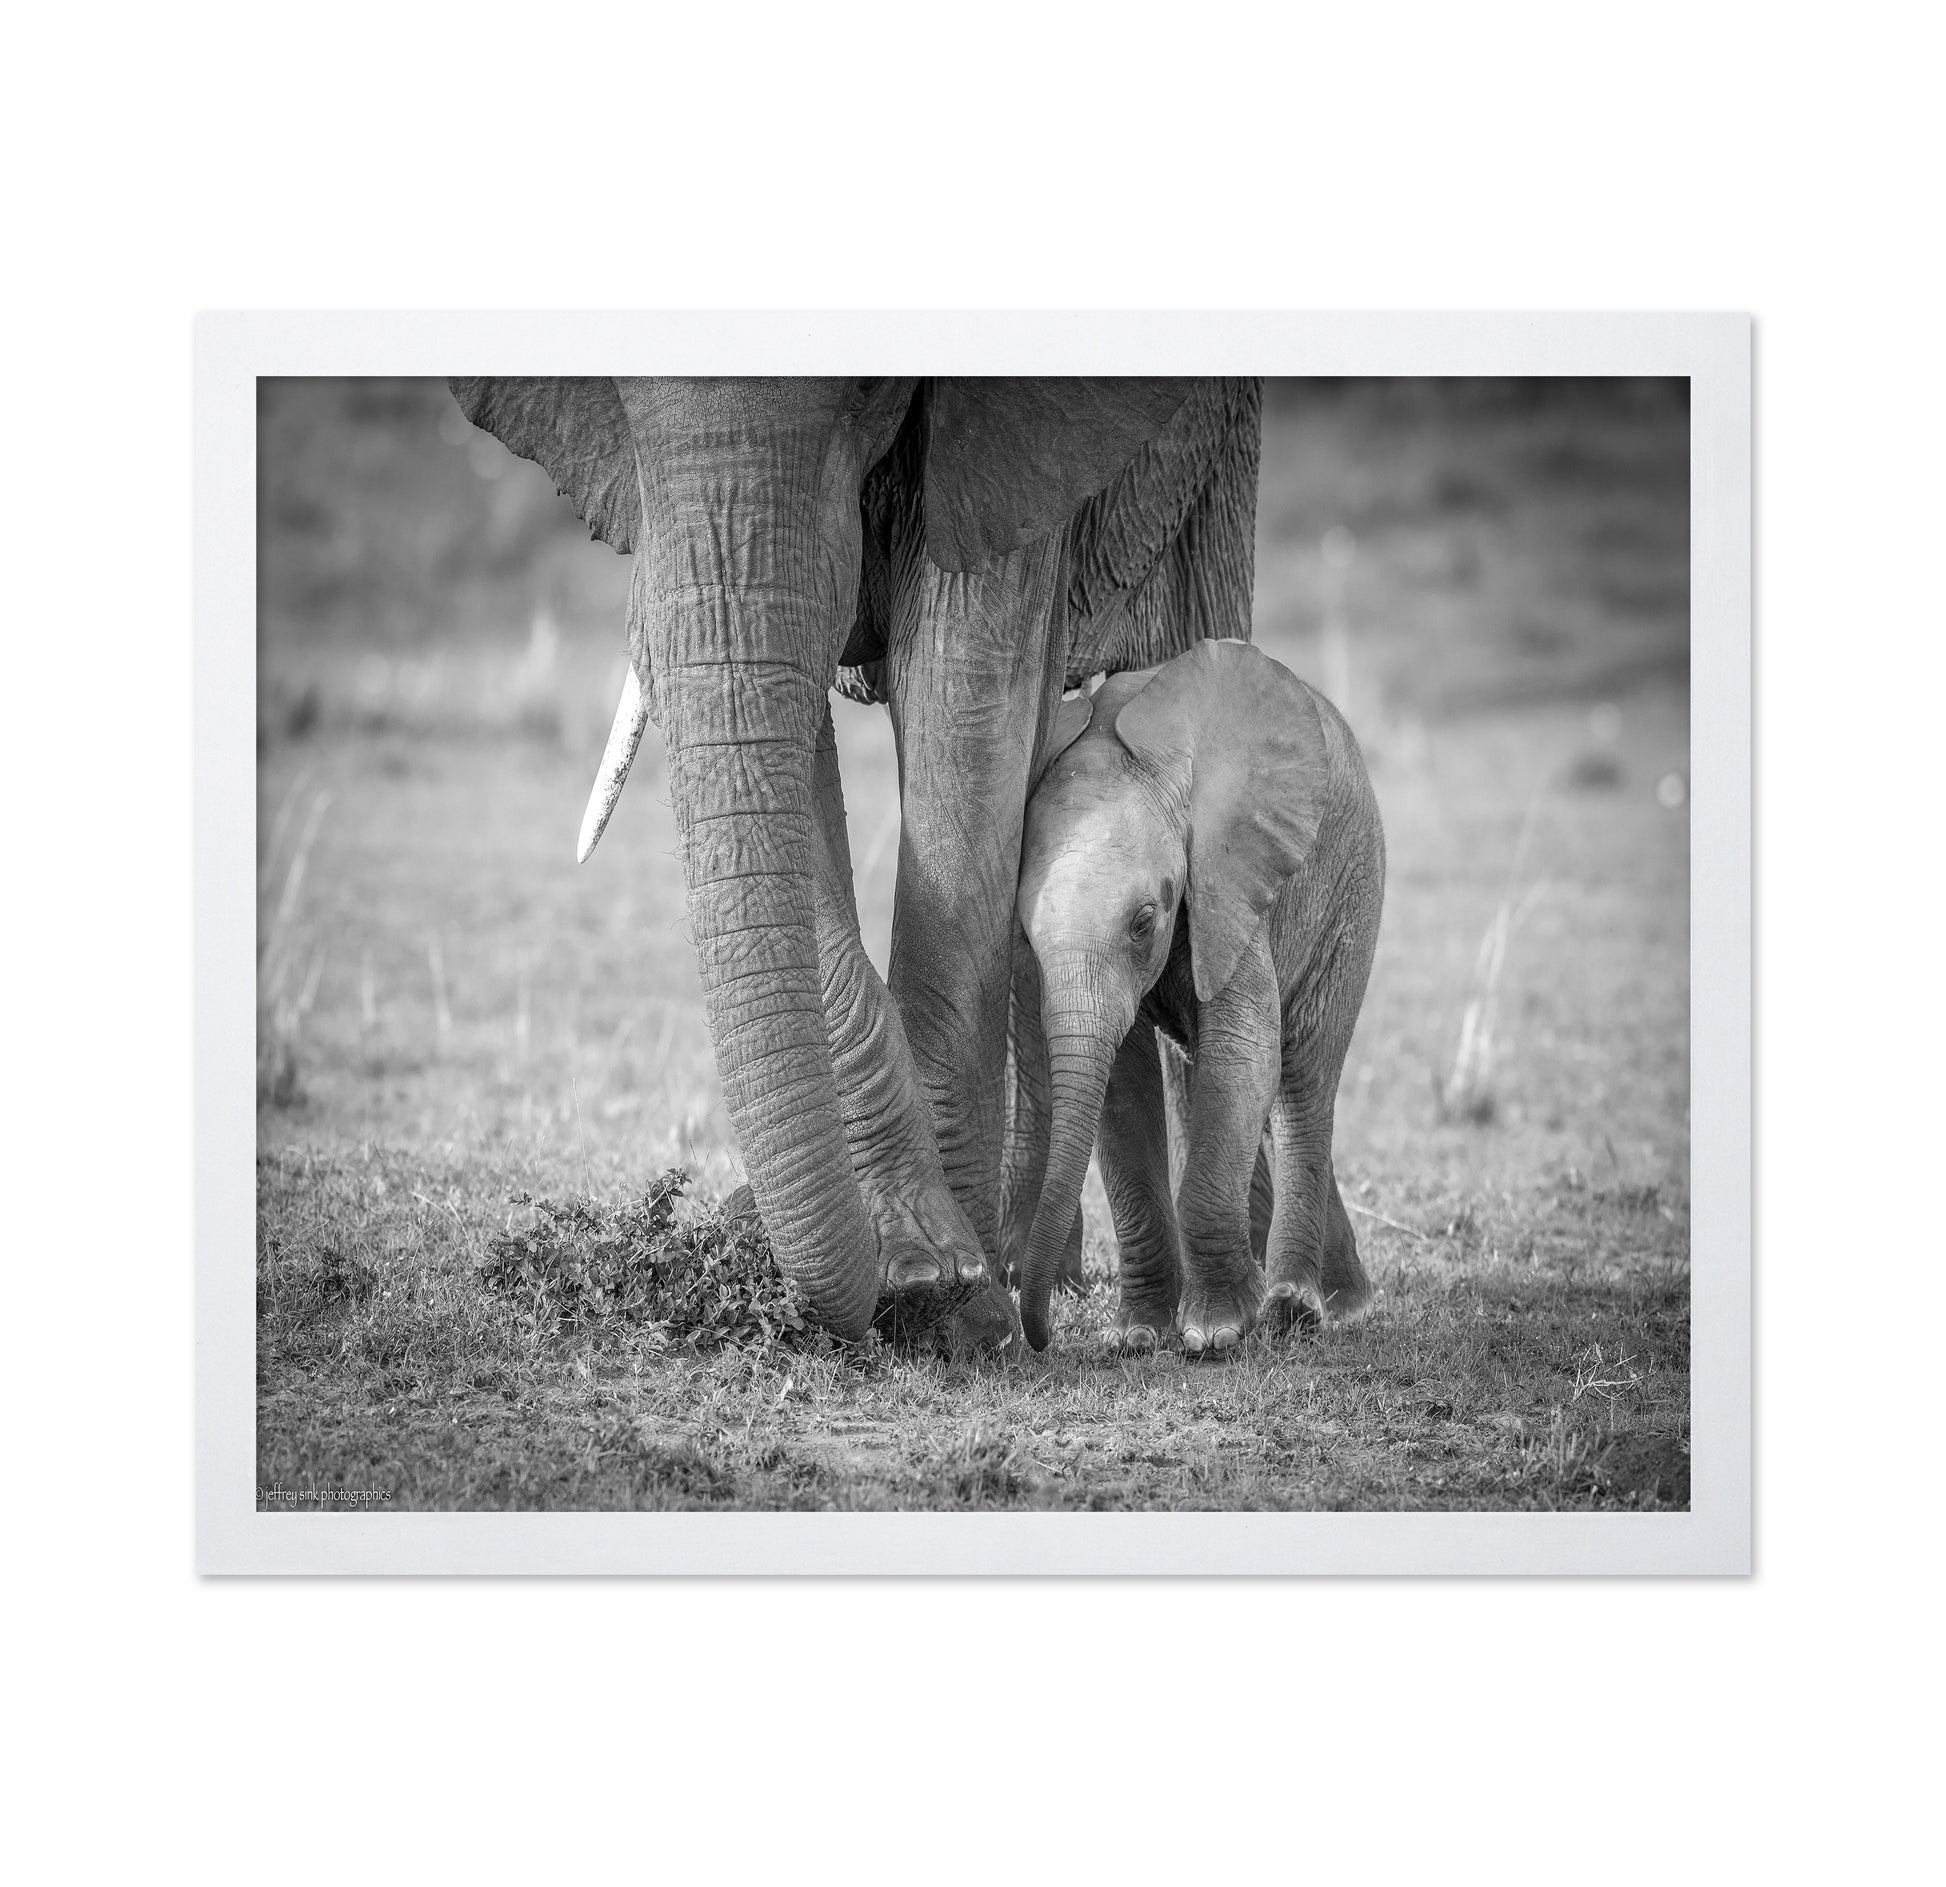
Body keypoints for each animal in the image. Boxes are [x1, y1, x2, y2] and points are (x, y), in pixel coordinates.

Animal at [449, 376, 1265, 1343]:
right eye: (612, 397)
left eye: (873, 393)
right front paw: (927, 1272)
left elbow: (965, 692)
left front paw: (952, 1302)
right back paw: (1041, 1273)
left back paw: (1229, 1302)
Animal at [1010, 639, 1385, 1354]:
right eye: (1025, 934)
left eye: (1143, 922)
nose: (1038, 1340)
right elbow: (1123, 1087)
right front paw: (1137, 1336)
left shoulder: (1228, 883)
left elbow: (1242, 1054)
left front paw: (1216, 1334)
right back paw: (1342, 1302)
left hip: (1352, 889)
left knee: (1302, 1078)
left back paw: (1299, 1310)